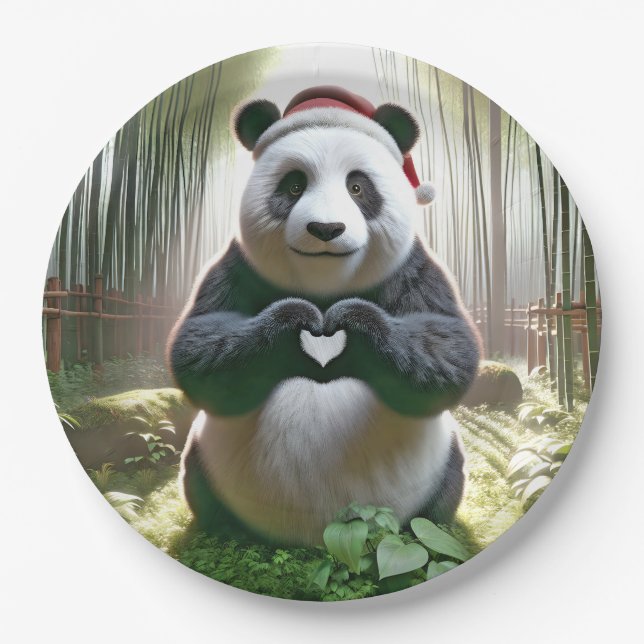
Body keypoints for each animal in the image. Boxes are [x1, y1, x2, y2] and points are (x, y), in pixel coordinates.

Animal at [168, 86, 481, 547]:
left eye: (357, 187)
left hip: (439, 465)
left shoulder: (415, 267)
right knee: (198, 481)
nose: (326, 229)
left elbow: (448, 351)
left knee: (446, 488)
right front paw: (298, 319)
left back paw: (433, 528)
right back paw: (219, 532)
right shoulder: (235, 264)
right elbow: (199, 347)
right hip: (206, 459)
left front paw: (349, 320)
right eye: (295, 185)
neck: (325, 285)